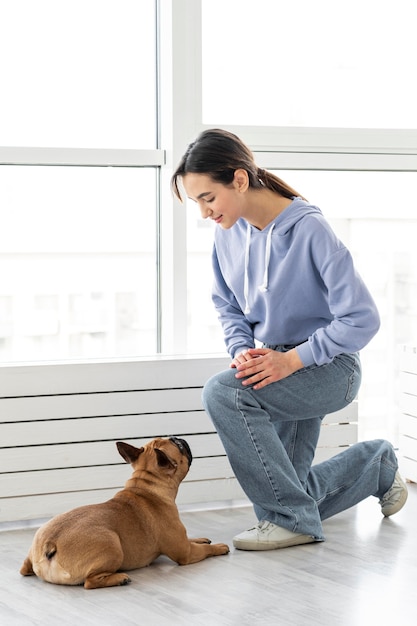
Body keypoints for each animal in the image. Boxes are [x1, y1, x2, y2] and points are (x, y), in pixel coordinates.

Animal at [19, 436, 229, 588]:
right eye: (178, 445)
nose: (178, 437)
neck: (148, 487)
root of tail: (49, 544)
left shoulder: (182, 542)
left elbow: (192, 539)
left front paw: (201, 538)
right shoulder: (185, 553)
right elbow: (205, 550)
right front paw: (219, 547)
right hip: (112, 545)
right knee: (89, 582)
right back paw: (119, 578)